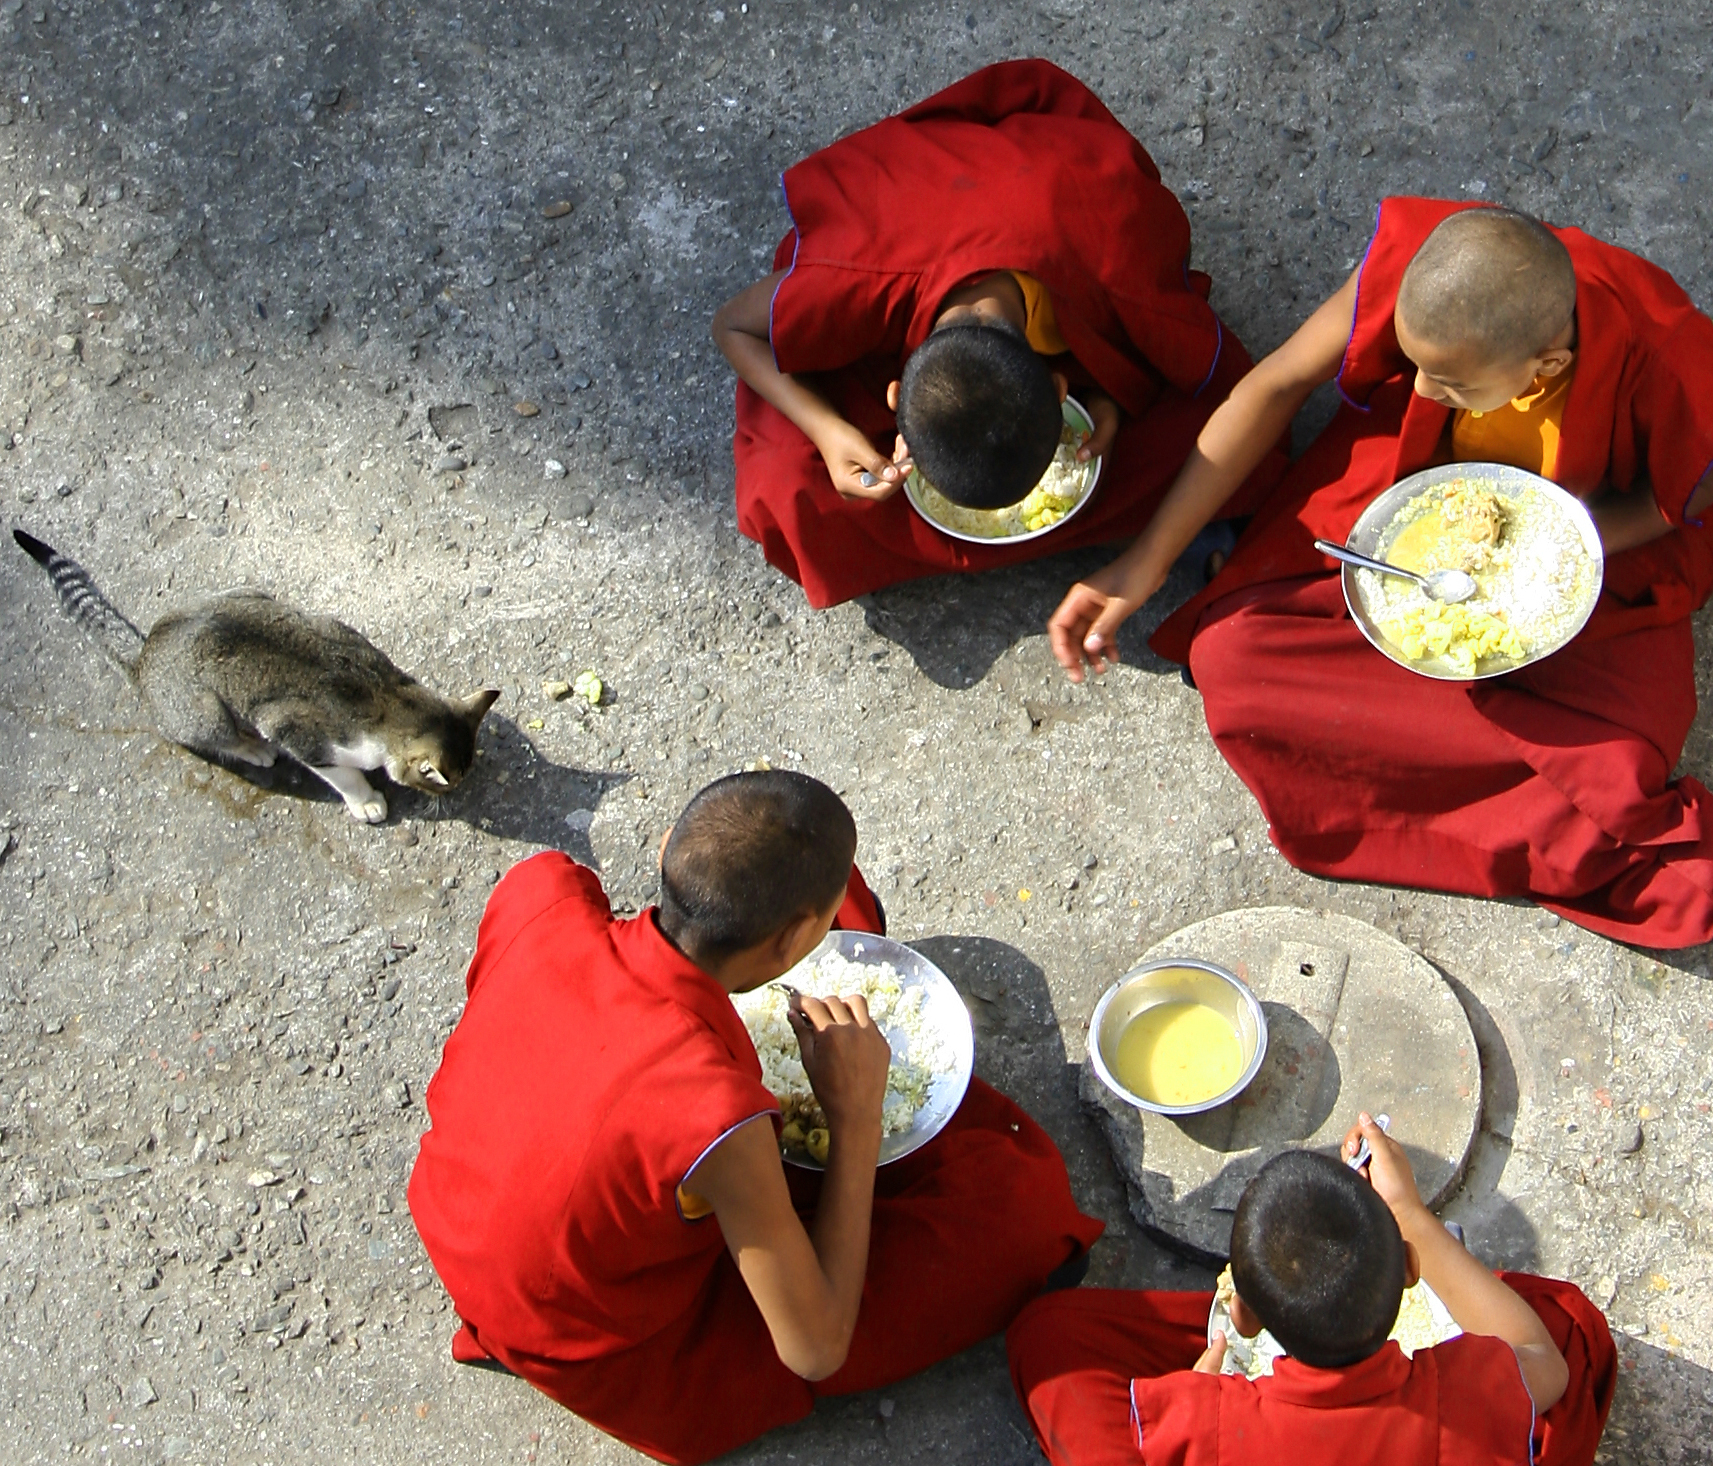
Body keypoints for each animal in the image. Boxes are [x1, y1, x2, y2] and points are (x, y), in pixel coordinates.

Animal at [15, 530, 496, 825]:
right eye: (449, 780)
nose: (454, 795)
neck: (393, 698)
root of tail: (146, 651)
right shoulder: (298, 732)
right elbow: (341, 774)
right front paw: (366, 800)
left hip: (249, 592)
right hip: (205, 712)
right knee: (212, 735)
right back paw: (253, 748)